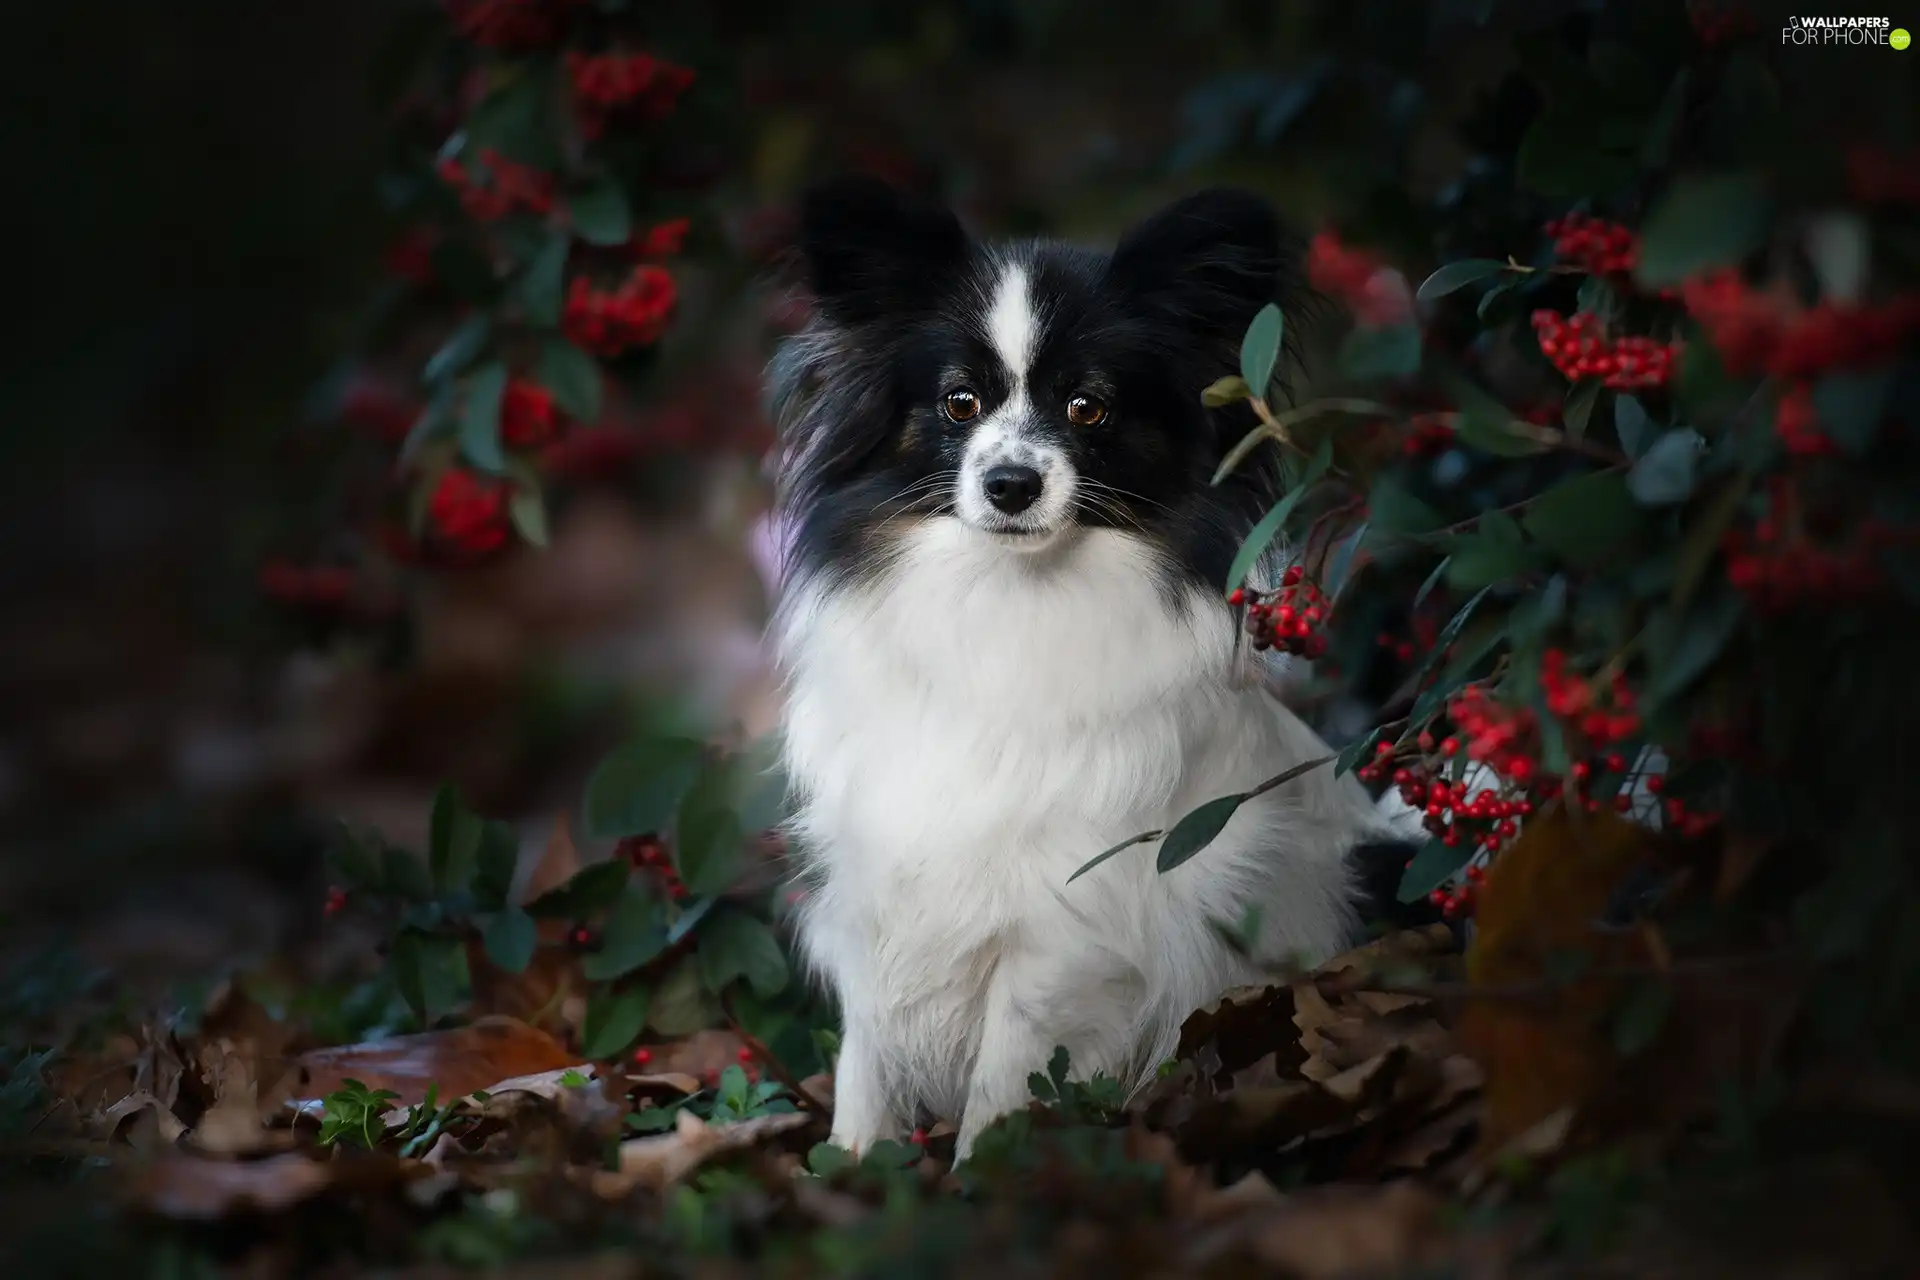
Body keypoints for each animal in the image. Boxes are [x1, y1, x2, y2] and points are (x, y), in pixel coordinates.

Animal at [764, 177, 1428, 1159]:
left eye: (1088, 409)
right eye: (959, 403)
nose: (1010, 485)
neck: (1006, 604)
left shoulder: (1064, 923)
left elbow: (1006, 1074)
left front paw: (978, 1174)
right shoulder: (879, 886)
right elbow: (865, 1064)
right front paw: (849, 1170)